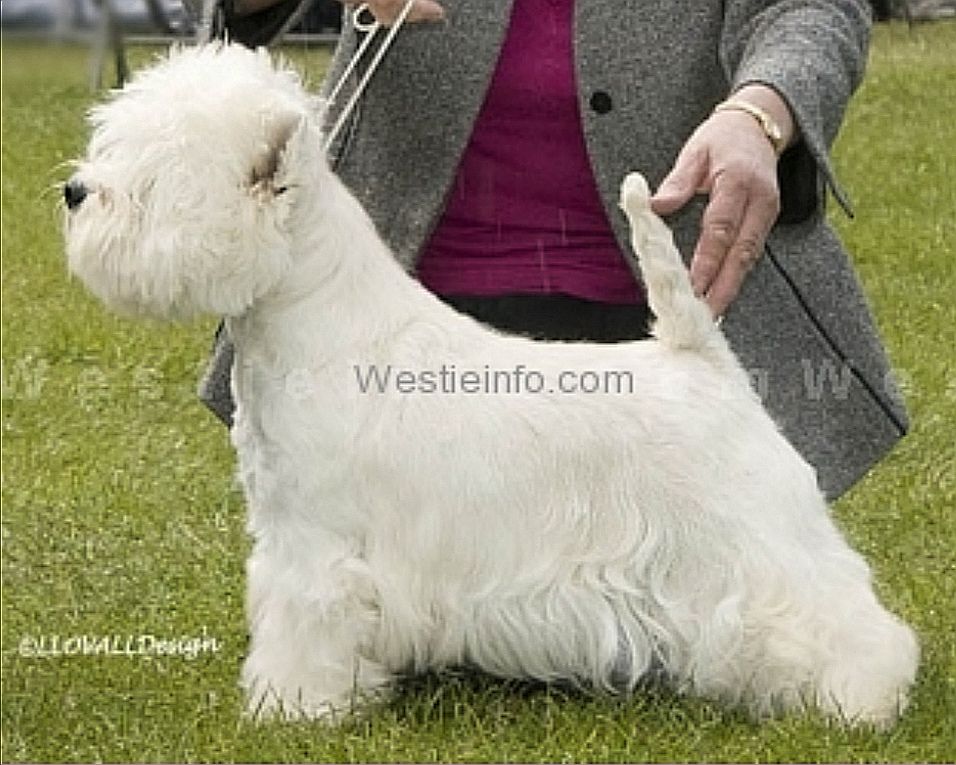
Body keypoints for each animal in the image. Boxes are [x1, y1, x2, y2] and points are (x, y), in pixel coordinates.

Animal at [65, 44, 920, 724]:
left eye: (155, 174)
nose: (75, 192)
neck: (315, 316)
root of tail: (698, 355)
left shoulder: (316, 543)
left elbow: (305, 623)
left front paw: (293, 707)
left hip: (753, 532)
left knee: (839, 613)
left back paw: (861, 701)